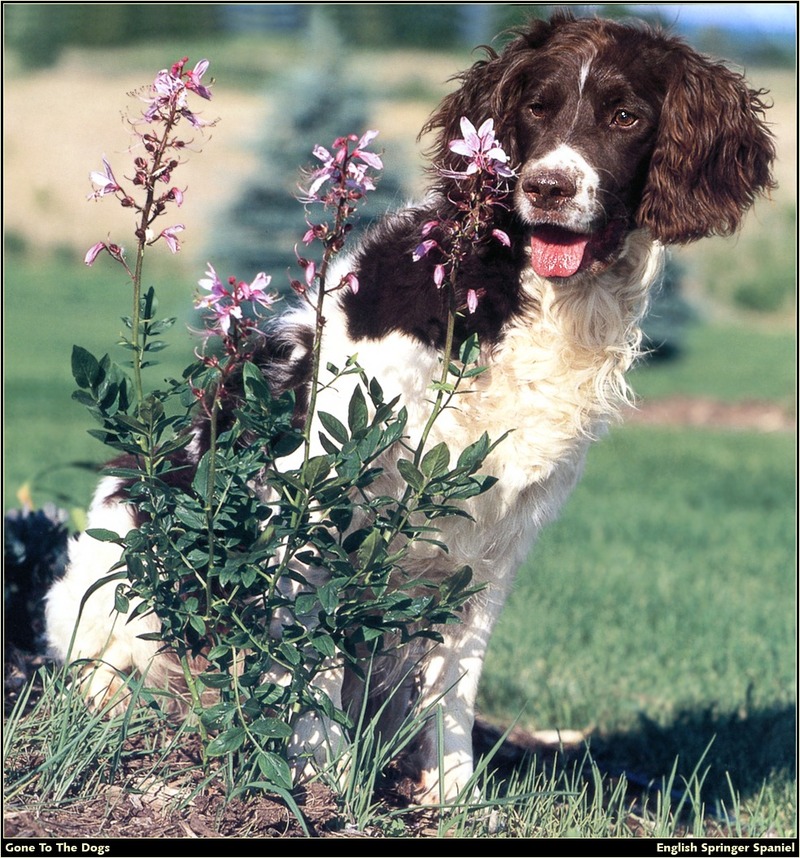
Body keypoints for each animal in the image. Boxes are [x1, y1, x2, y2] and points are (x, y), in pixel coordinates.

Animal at [45, 13, 776, 804]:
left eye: (625, 117)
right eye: (536, 108)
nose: (547, 187)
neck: (517, 298)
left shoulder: (492, 546)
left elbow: (455, 685)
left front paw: (455, 797)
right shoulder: (314, 509)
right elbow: (314, 662)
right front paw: (330, 785)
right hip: (110, 580)